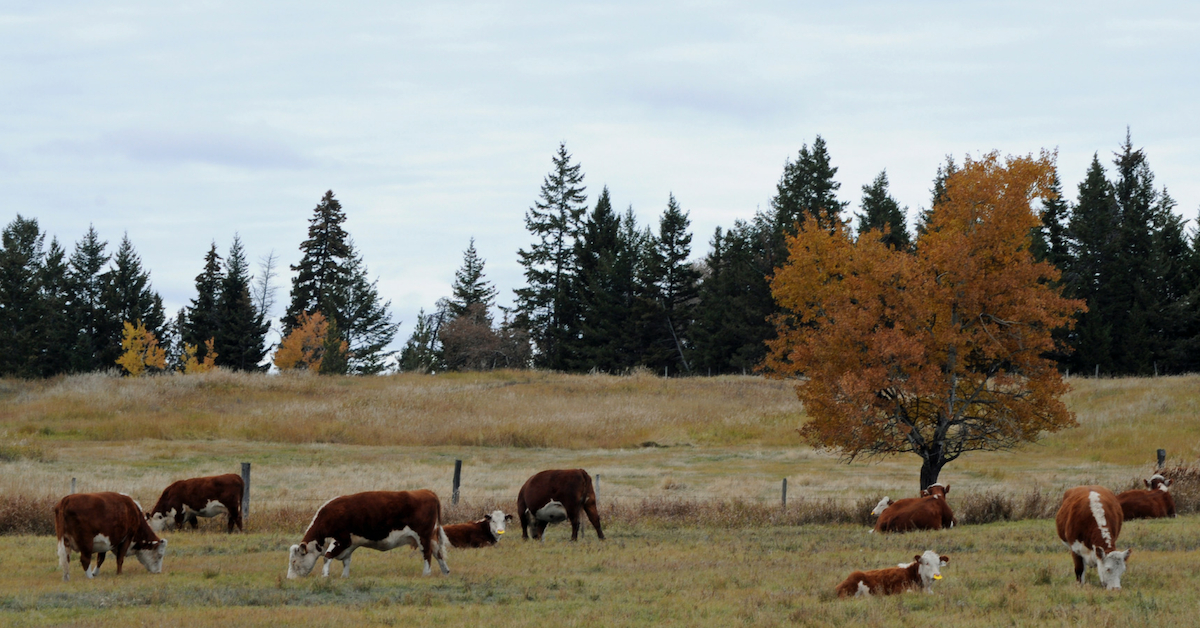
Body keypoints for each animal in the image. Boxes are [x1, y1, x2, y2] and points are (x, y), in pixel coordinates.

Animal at [286, 492, 451, 581]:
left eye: (294, 561)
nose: (289, 578)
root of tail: (426, 492)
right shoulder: (349, 544)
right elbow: (346, 561)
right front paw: (344, 576)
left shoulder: (341, 540)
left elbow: (327, 557)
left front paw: (325, 575)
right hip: (430, 537)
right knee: (438, 553)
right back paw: (445, 571)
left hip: (423, 537)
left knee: (427, 554)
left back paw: (426, 573)